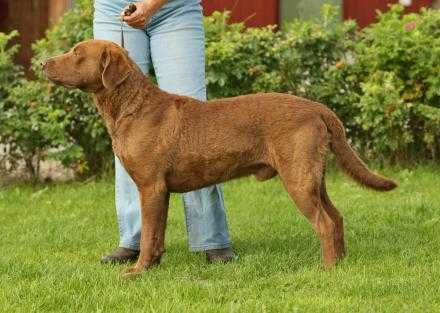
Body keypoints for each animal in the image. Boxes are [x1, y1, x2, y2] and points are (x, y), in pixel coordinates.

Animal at [43, 39, 398, 276]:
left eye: (76, 53)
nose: (44, 63)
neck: (133, 106)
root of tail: (317, 107)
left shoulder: (150, 187)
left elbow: (147, 235)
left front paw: (137, 271)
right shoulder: (160, 191)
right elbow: (156, 235)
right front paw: (153, 266)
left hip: (298, 179)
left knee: (324, 222)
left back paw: (326, 268)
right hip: (313, 177)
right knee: (336, 217)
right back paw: (341, 262)